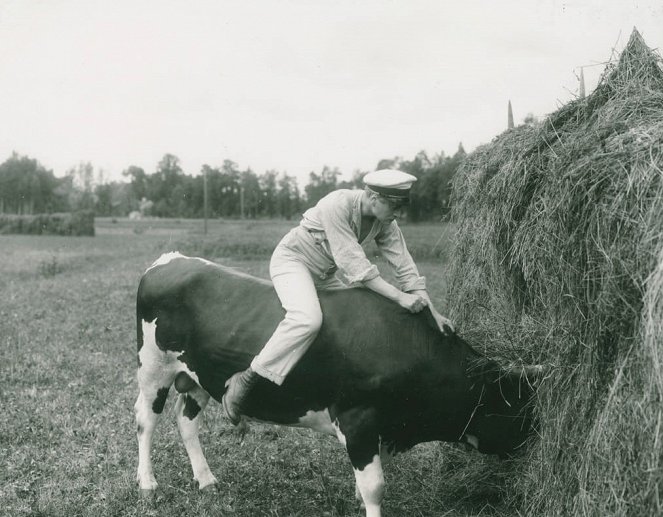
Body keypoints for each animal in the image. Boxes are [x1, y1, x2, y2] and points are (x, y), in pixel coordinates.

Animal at [134, 254, 540, 516]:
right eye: (522, 410)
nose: (533, 451)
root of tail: (170, 260)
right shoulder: (358, 418)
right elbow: (376, 486)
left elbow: (371, 479)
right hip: (154, 368)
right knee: (145, 420)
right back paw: (148, 483)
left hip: (198, 377)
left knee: (186, 421)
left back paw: (206, 480)